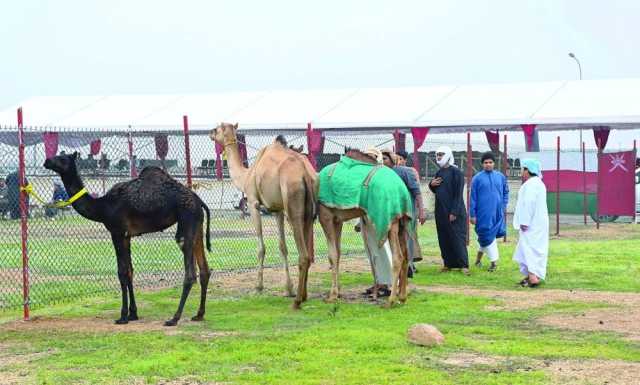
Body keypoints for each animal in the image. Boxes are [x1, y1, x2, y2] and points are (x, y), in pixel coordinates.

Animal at [43, 152, 212, 326]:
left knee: (190, 272)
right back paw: (199, 314)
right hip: (197, 225)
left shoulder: (117, 232)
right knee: (204, 270)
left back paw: (174, 318)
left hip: (186, 220)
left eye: (62, 159)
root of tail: (199, 201)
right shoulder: (127, 235)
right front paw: (133, 314)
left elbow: (122, 272)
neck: (102, 206)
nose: (47, 161)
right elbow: (130, 270)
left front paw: (123, 316)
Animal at [211, 121, 318, 308]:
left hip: (293, 208)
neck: (246, 175)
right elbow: (283, 247)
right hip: (308, 214)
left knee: (304, 255)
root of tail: (305, 174)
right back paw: (303, 295)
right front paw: (288, 289)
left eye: (217, 129)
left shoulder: (253, 203)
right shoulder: (277, 210)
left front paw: (258, 287)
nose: (210, 132)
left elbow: (261, 248)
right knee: (309, 252)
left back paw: (297, 301)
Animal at [316, 148, 410, 308]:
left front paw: (332, 296)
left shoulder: (325, 214)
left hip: (390, 219)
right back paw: (402, 297)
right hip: (402, 222)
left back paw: (391, 300)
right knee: (406, 255)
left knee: (398, 256)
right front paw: (338, 292)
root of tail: (401, 189)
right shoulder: (337, 219)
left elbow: (332, 255)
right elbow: (338, 253)